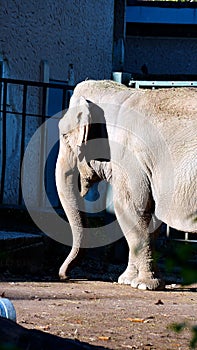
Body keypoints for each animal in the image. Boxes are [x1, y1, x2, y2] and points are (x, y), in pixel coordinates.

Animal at [55, 80, 197, 292]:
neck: (121, 92)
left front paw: (144, 285)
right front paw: (127, 280)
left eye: (65, 136)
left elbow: (129, 207)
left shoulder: (130, 156)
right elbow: (149, 215)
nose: (64, 276)